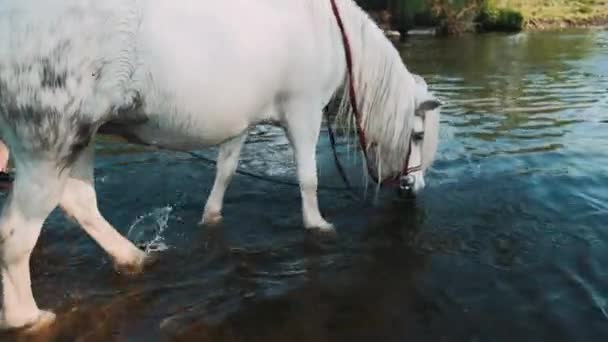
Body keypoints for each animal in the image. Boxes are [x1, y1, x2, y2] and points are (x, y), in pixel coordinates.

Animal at [0, 0, 440, 332]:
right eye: (418, 135)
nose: (412, 189)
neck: (328, 31)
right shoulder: (303, 111)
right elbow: (308, 179)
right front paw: (317, 224)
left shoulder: (242, 122)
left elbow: (225, 172)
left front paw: (211, 216)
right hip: (51, 146)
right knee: (16, 237)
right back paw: (29, 317)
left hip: (81, 139)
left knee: (79, 203)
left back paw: (134, 257)